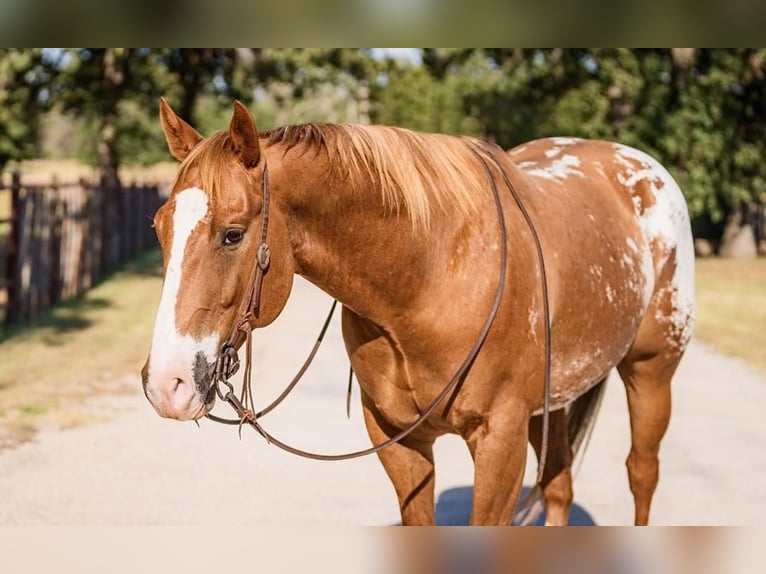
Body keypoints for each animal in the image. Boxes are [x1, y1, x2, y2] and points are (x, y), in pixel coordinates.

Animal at [142, 99, 696, 528]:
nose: (167, 384)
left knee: (641, 472)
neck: (427, 278)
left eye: (232, 234)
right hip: (555, 397)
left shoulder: (500, 441)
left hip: (651, 371)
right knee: (558, 485)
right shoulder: (396, 441)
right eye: (158, 228)